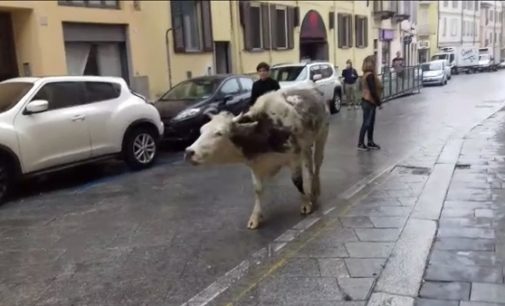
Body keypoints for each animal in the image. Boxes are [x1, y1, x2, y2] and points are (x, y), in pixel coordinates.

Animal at [183, 86, 328, 230]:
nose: (189, 152)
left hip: (322, 136)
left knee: (317, 164)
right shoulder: (256, 165)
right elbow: (257, 189)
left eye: (219, 133)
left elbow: (297, 181)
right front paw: (255, 217)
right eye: (201, 130)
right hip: (306, 147)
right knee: (309, 166)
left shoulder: (293, 157)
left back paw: (315, 190)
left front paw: (306, 203)